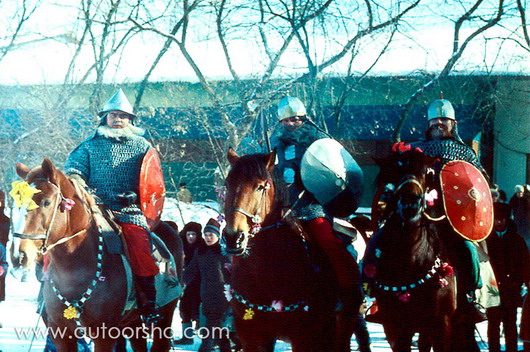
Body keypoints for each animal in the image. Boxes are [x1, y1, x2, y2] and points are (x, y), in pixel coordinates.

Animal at [12, 160, 182, 352]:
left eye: (46, 202)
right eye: (17, 202)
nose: (19, 255)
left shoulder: (105, 334)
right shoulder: (61, 333)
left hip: (165, 314)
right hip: (132, 321)